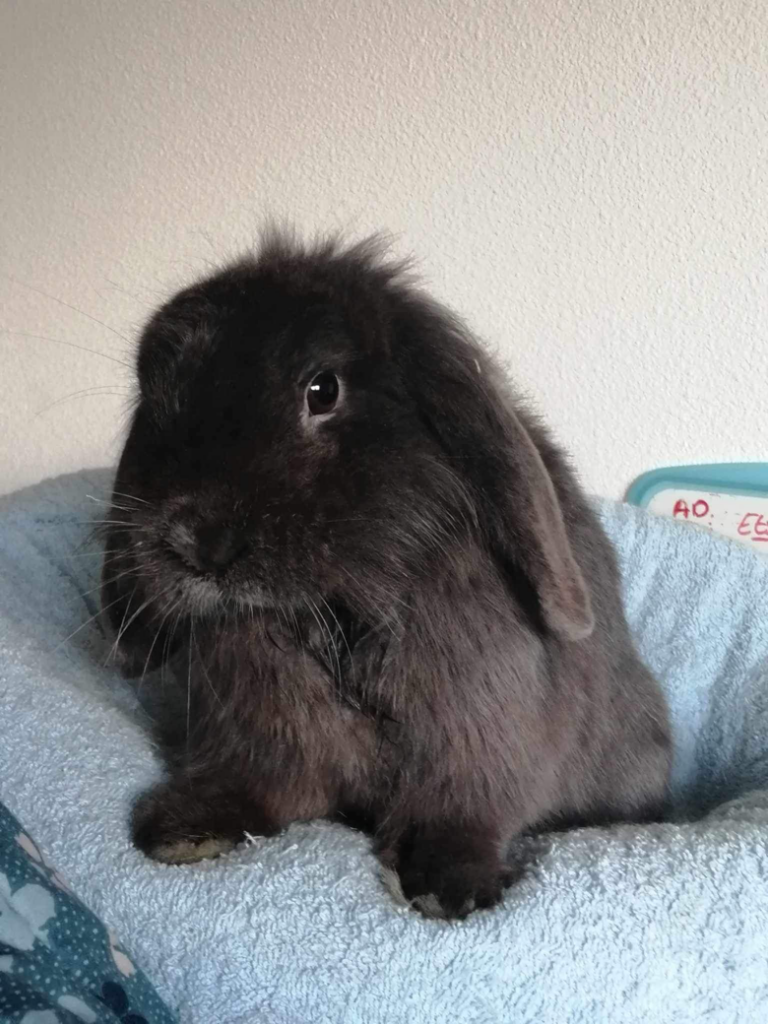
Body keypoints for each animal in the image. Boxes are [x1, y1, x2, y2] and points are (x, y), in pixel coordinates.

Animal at [101, 232, 671, 919]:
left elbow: (460, 809)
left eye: (322, 389)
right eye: (153, 395)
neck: (330, 615)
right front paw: (183, 831)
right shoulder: (262, 744)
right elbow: (263, 789)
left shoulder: (472, 740)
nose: (196, 541)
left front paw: (449, 889)